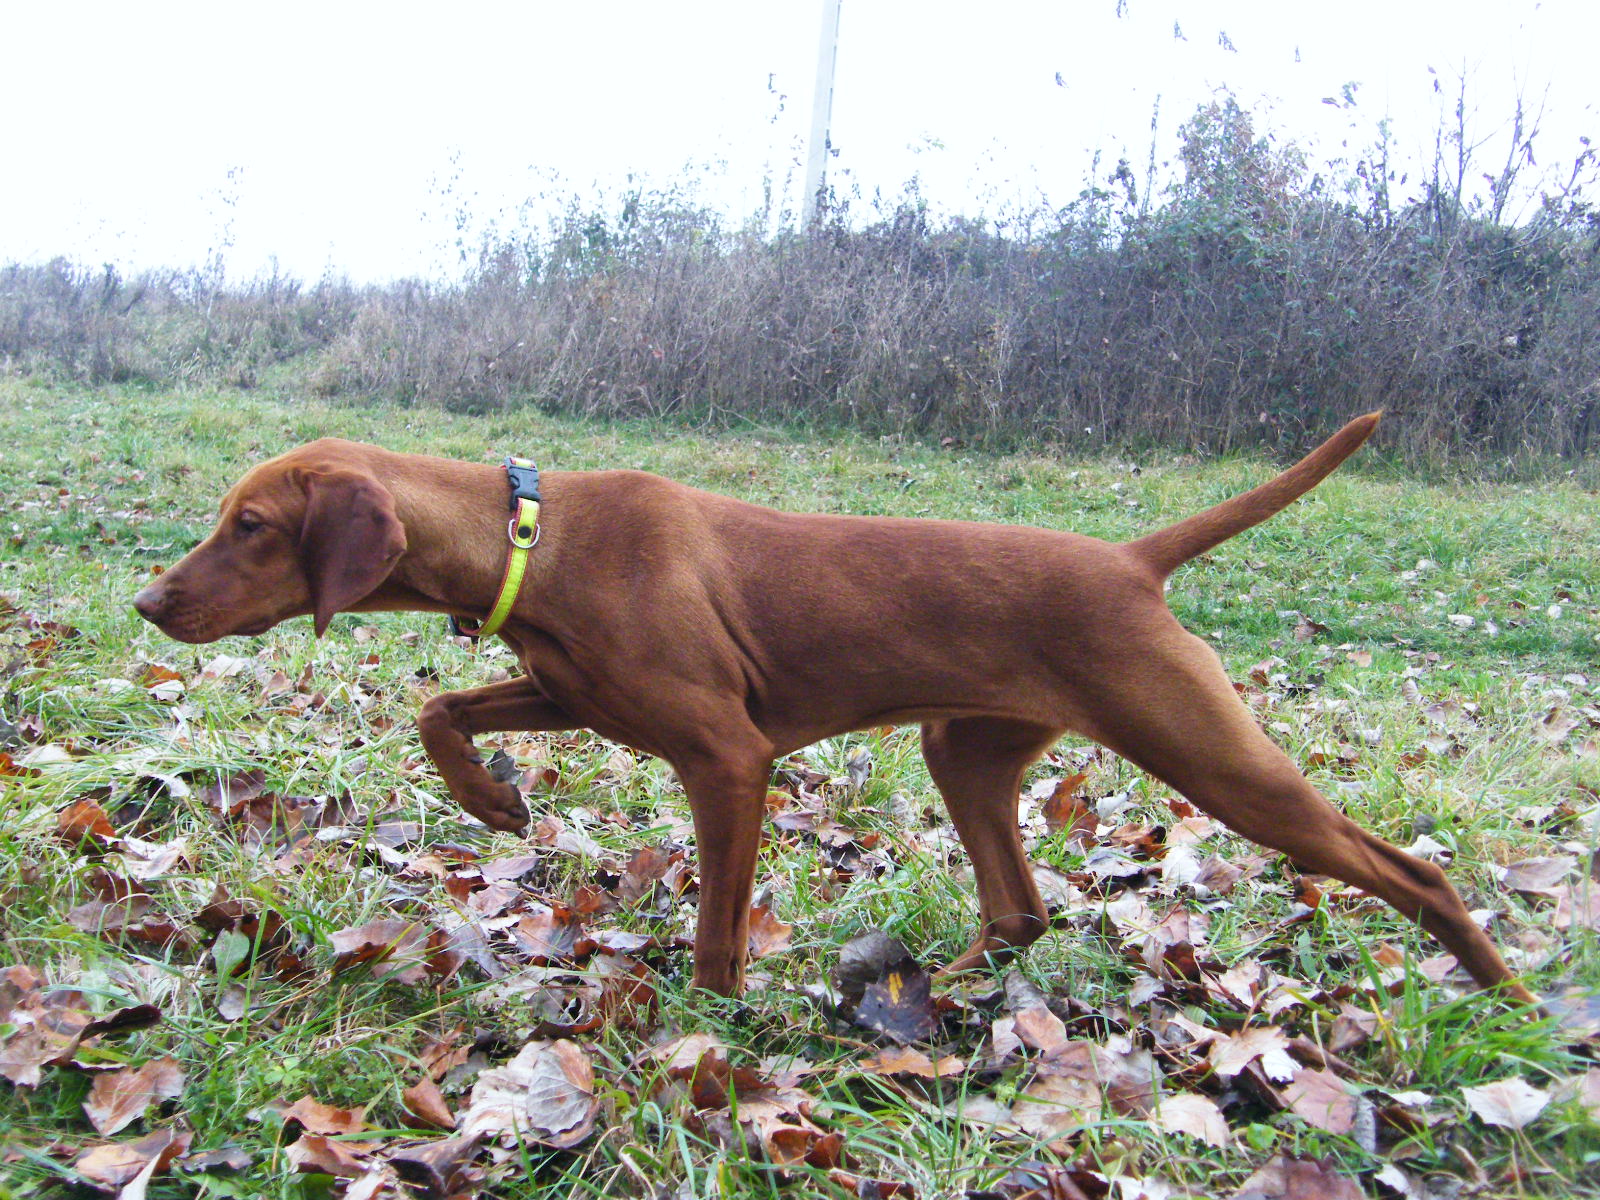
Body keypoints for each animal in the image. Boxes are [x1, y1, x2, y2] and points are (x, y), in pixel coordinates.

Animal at [134, 419, 1536, 1011]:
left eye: (248, 527)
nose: (147, 602)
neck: (535, 533)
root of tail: (1130, 563)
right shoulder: (574, 691)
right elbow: (442, 704)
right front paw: (490, 800)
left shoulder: (727, 755)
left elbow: (713, 927)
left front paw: (705, 1027)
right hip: (963, 749)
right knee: (1020, 911)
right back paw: (925, 988)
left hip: (1212, 756)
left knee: (1407, 869)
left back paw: (1501, 992)